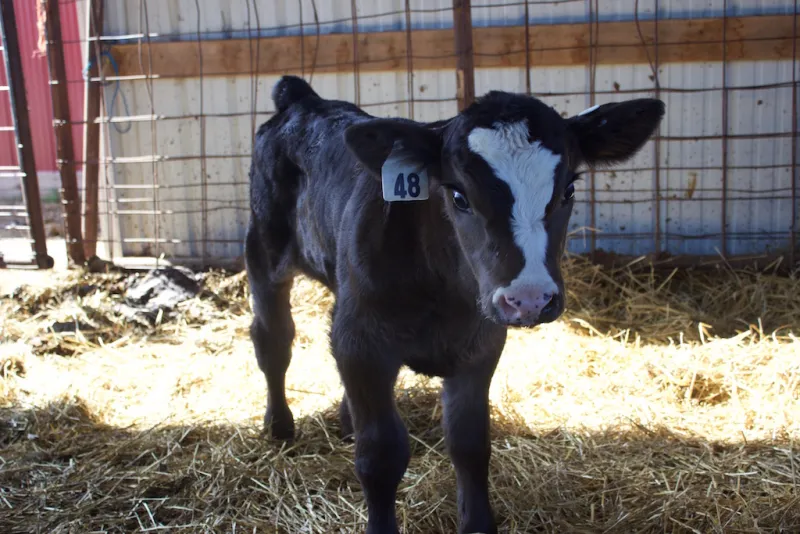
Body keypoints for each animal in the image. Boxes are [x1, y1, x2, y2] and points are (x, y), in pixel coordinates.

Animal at [245, 75, 664, 534]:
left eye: (568, 190)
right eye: (460, 196)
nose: (530, 298)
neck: (445, 295)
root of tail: (303, 99)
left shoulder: (480, 345)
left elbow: (470, 444)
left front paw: (478, 523)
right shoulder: (362, 342)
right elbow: (380, 455)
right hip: (264, 247)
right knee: (273, 340)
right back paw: (279, 425)